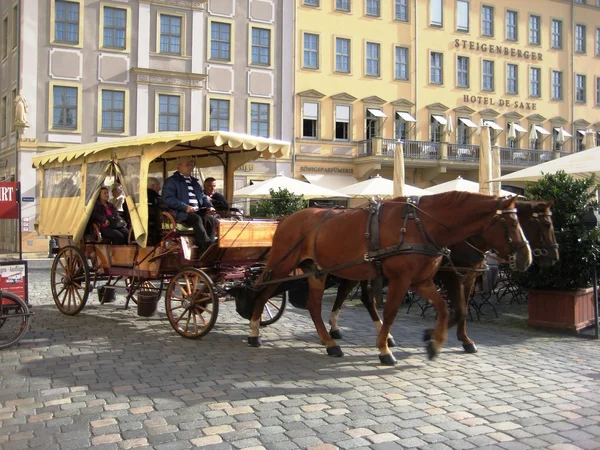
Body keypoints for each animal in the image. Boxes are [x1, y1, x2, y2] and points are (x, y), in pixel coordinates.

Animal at [247, 192, 528, 364]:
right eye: (512, 224)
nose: (527, 257)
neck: (420, 224)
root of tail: (288, 218)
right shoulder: (404, 280)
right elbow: (392, 311)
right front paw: (384, 348)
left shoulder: (422, 281)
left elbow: (446, 309)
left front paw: (434, 341)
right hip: (282, 266)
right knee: (262, 292)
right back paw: (254, 332)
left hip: (318, 270)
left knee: (315, 307)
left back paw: (329, 342)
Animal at [328, 200, 556, 356]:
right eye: (546, 224)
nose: (554, 256)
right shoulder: (450, 275)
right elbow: (460, 310)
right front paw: (433, 335)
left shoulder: (468, 277)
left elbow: (462, 309)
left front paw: (463, 339)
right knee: (346, 291)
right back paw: (336, 328)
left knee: (366, 298)